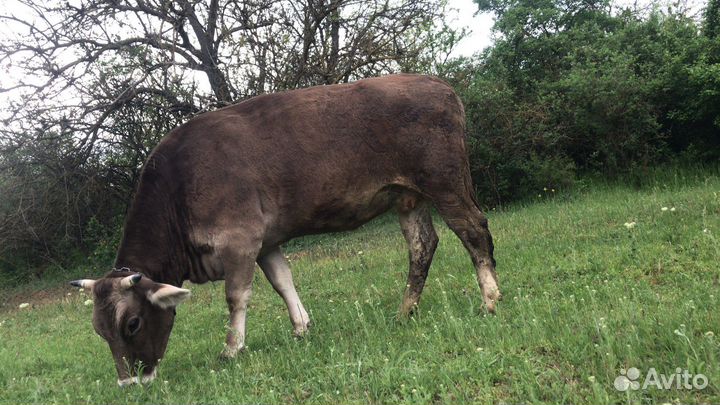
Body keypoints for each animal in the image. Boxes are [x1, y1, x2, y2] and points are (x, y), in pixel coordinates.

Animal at [70, 74, 500, 386]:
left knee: (473, 230)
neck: (178, 187)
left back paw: (490, 300)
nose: (129, 384)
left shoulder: (239, 239)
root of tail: (436, 83)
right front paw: (301, 327)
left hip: (445, 181)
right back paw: (405, 310)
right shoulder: (266, 242)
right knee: (422, 246)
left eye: (132, 323)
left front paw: (232, 349)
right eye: (98, 331)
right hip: (409, 196)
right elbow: (282, 281)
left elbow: (236, 295)